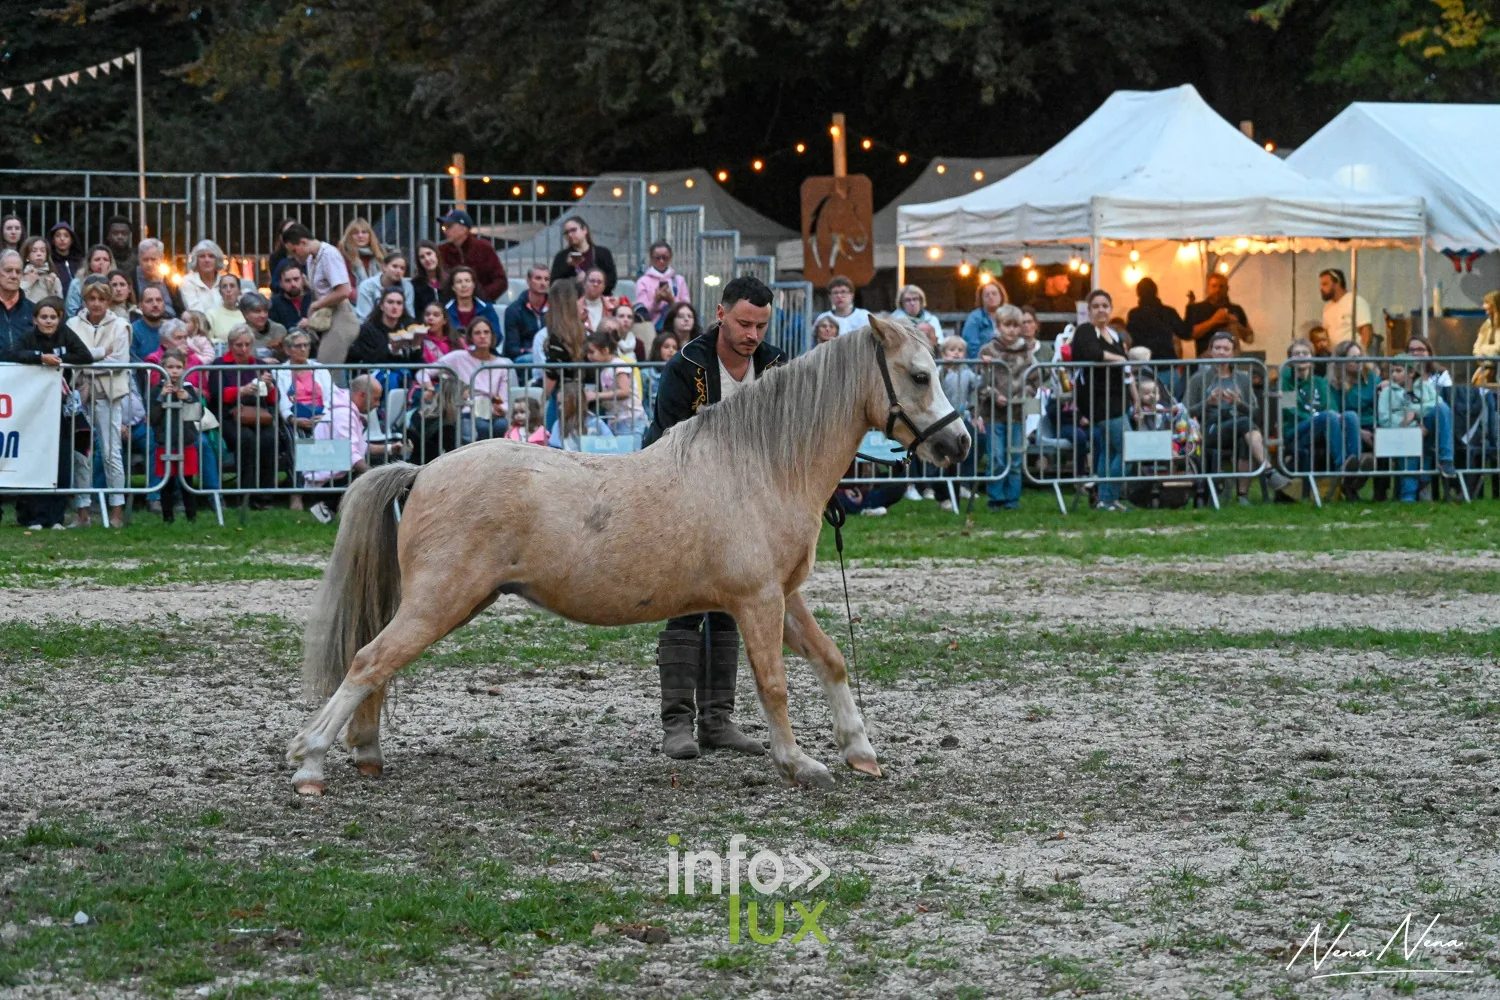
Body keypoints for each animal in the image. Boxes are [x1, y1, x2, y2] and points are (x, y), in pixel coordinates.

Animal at [287, 314, 971, 794]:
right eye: (918, 375)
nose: (961, 444)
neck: (761, 466)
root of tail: (423, 470)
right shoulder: (757, 602)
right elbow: (774, 684)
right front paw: (799, 764)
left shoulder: (783, 598)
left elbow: (831, 661)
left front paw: (859, 751)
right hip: (439, 602)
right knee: (369, 660)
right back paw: (310, 763)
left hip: (443, 603)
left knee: (377, 663)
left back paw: (366, 754)